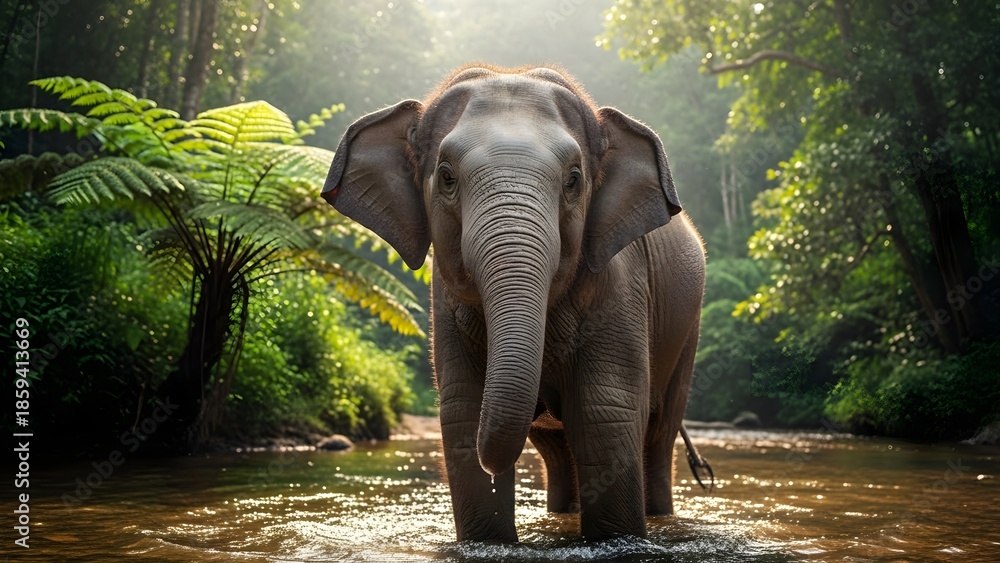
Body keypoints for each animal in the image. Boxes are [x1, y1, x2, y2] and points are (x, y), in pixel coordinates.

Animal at [322, 64, 706, 542]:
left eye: (574, 179)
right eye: (446, 176)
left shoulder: (620, 286)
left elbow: (605, 416)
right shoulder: (446, 307)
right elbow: (463, 414)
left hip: (686, 335)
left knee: (657, 435)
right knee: (557, 449)